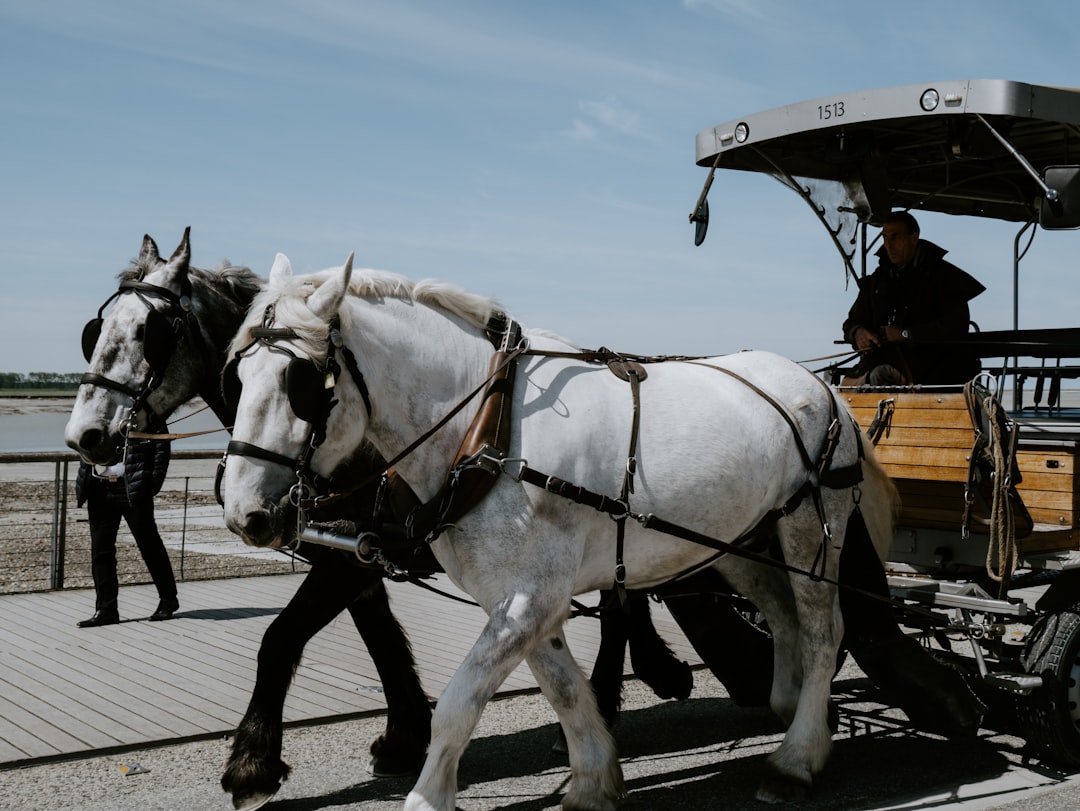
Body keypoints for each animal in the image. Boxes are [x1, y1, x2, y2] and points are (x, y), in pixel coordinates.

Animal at [219, 252, 894, 807]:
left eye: (303, 383)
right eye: (238, 376)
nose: (245, 514)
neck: (488, 425)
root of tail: (821, 387)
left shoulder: (527, 598)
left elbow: (460, 704)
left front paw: (427, 797)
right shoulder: (522, 598)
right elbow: (564, 688)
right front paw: (594, 781)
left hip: (812, 528)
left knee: (821, 630)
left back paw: (797, 758)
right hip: (740, 542)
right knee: (782, 617)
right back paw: (796, 713)